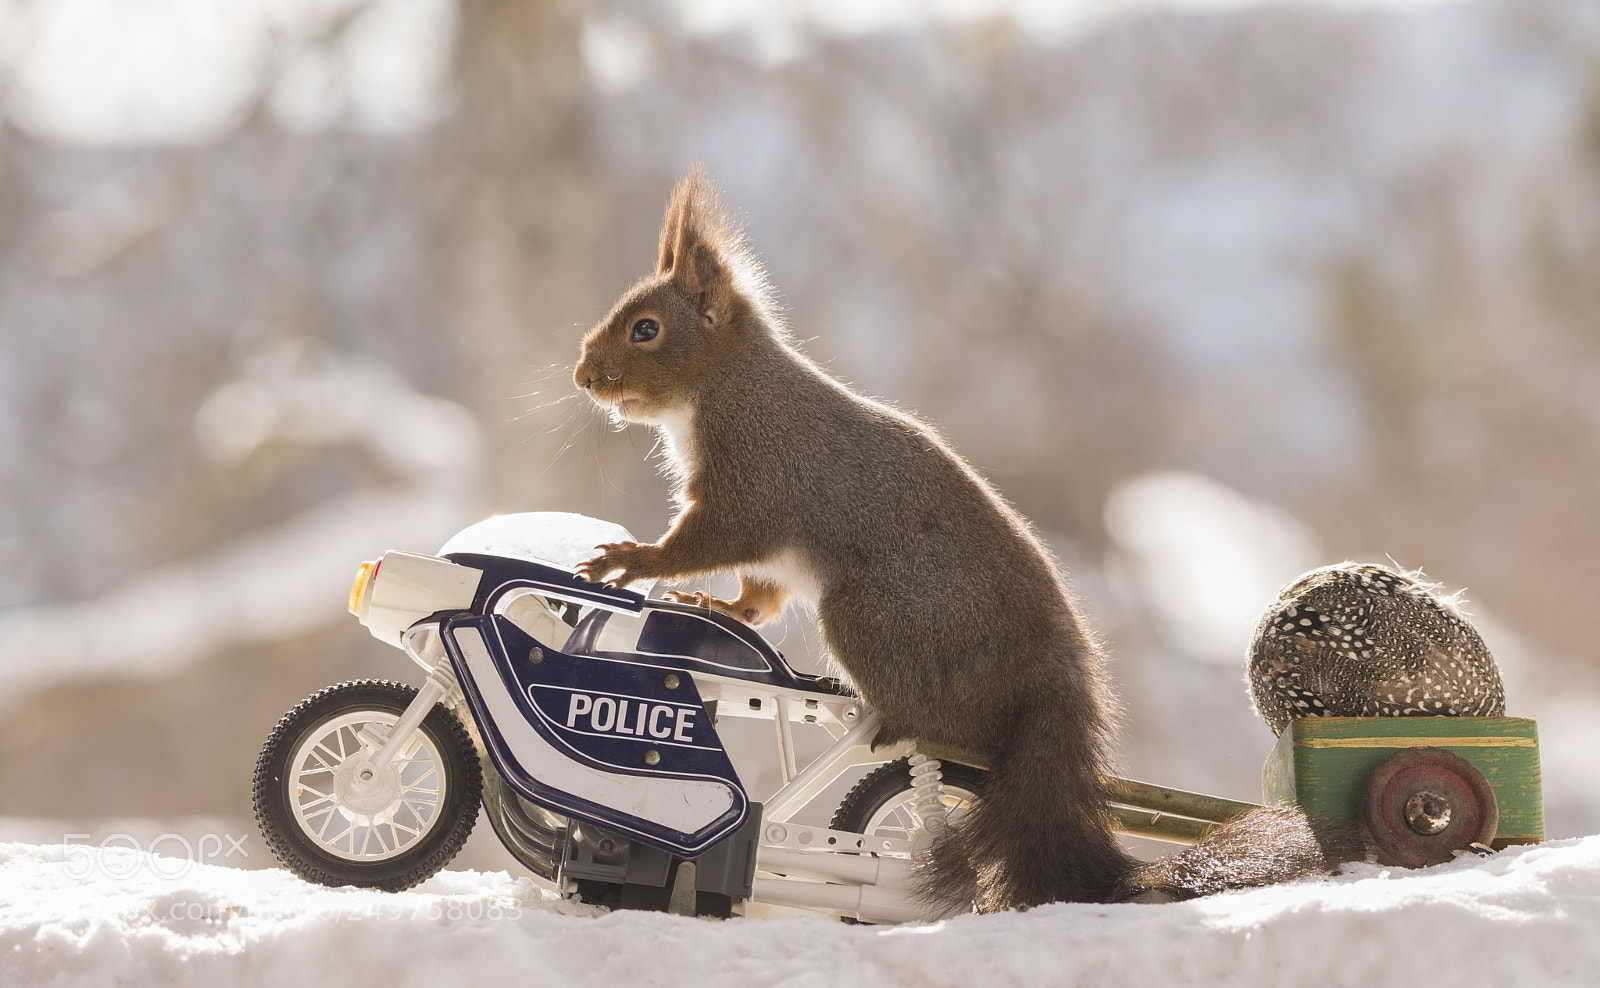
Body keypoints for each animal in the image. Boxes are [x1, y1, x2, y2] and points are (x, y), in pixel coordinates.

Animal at [570, 167, 1351, 912]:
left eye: (646, 330)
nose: (583, 376)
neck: (726, 384)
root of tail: (1048, 674)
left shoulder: (758, 478)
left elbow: (710, 539)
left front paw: (635, 559)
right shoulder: (771, 552)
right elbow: (758, 597)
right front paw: (717, 607)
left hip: (873, 617)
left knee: (947, 726)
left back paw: (892, 719)